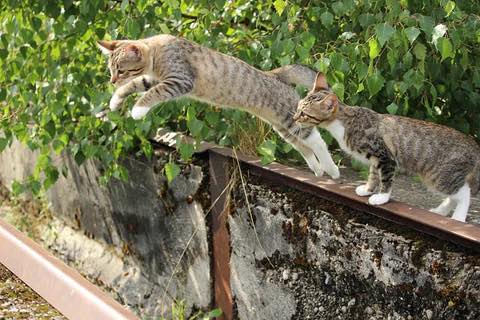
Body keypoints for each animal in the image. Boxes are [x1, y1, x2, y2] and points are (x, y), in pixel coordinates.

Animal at [292, 73, 480, 222]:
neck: (345, 122)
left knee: (464, 193)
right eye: (298, 107)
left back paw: (458, 217)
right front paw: (368, 189)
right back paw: (440, 211)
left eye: (304, 113)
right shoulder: (376, 160)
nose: (294, 118)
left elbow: (386, 179)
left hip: (440, 176)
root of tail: (474, 144)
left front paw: (381, 197)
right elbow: (374, 175)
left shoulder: (385, 156)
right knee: (455, 195)